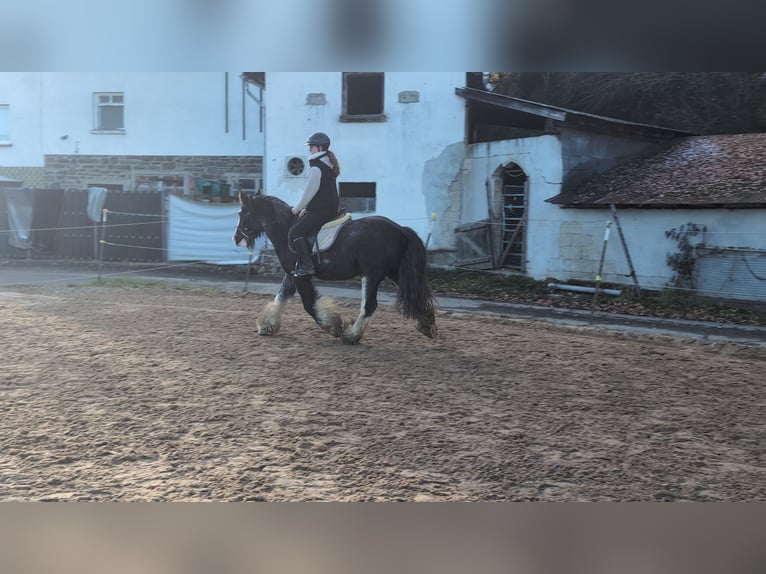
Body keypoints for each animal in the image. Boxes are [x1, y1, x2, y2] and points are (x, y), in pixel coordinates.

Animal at [233, 190, 437, 344]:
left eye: (242, 214)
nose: (236, 239)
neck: (286, 230)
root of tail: (400, 229)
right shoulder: (292, 275)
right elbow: (281, 297)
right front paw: (268, 325)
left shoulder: (301, 276)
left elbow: (309, 304)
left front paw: (333, 325)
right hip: (393, 272)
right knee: (414, 296)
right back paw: (426, 325)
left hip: (372, 274)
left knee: (369, 305)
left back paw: (352, 335)